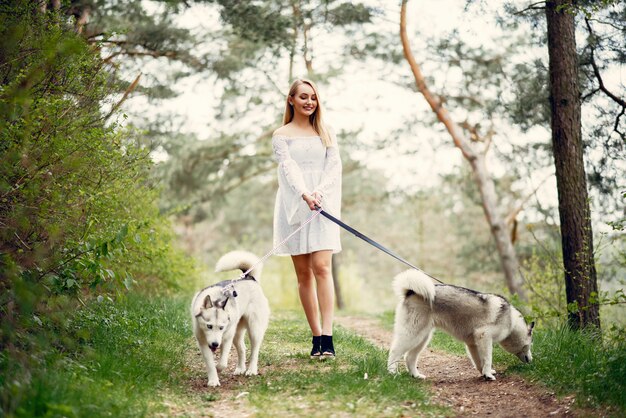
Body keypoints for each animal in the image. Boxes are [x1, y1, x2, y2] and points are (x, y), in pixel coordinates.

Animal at [189, 250, 270, 386]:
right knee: (242, 348)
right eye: (209, 326)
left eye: (221, 328)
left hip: (253, 330)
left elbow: (222, 363)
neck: (216, 299)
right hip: (236, 334)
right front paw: (213, 380)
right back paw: (240, 368)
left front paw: (218, 369)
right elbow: (210, 363)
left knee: (255, 350)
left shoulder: (226, 338)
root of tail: (250, 278)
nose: (215, 344)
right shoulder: (202, 342)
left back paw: (251, 370)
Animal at [386, 270, 532, 380]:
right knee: (395, 352)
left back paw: (416, 375)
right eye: (530, 345)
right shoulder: (484, 336)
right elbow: (488, 358)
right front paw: (488, 374)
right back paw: (392, 372)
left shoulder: (473, 343)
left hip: (422, 338)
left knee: (409, 357)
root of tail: (411, 292)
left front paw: (484, 373)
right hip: (412, 335)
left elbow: (479, 361)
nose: (531, 360)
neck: (512, 320)